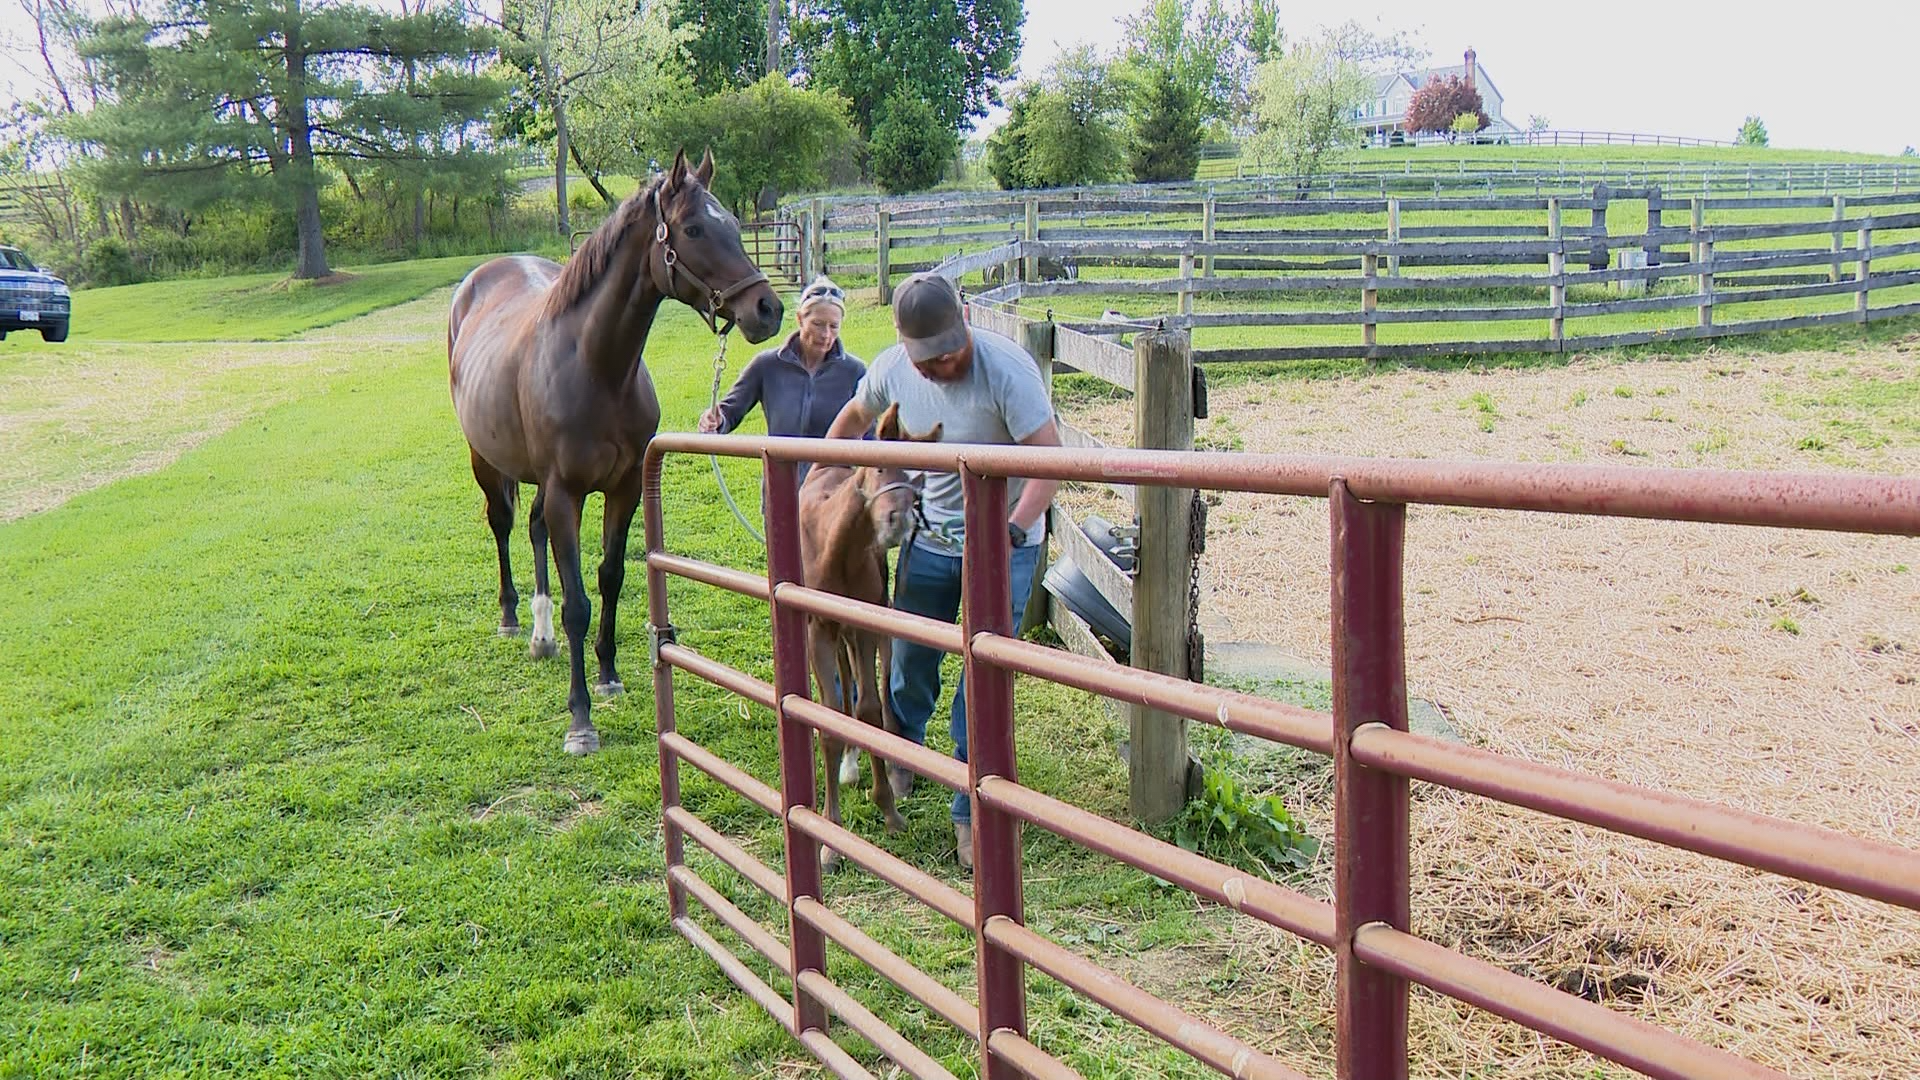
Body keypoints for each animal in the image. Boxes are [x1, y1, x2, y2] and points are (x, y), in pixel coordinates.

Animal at [446, 148, 784, 755]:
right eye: (693, 229)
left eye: (732, 224)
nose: (766, 308)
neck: (595, 367)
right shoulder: (567, 493)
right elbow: (578, 601)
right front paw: (580, 719)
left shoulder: (623, 489)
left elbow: (609, 578)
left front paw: (607, 675)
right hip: (488, 463)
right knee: (504, 523)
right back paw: (513, 618)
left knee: (533, 528)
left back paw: (541, 634)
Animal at [797, 403, 942, 870]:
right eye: (880, 467)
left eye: (921, 481)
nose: (898, 523)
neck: (835, 548)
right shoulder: (818, 629)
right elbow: (827, 719)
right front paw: (829, 840)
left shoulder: (862, 626)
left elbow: (870, 711)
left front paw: (889, 810)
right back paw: (847, 764)